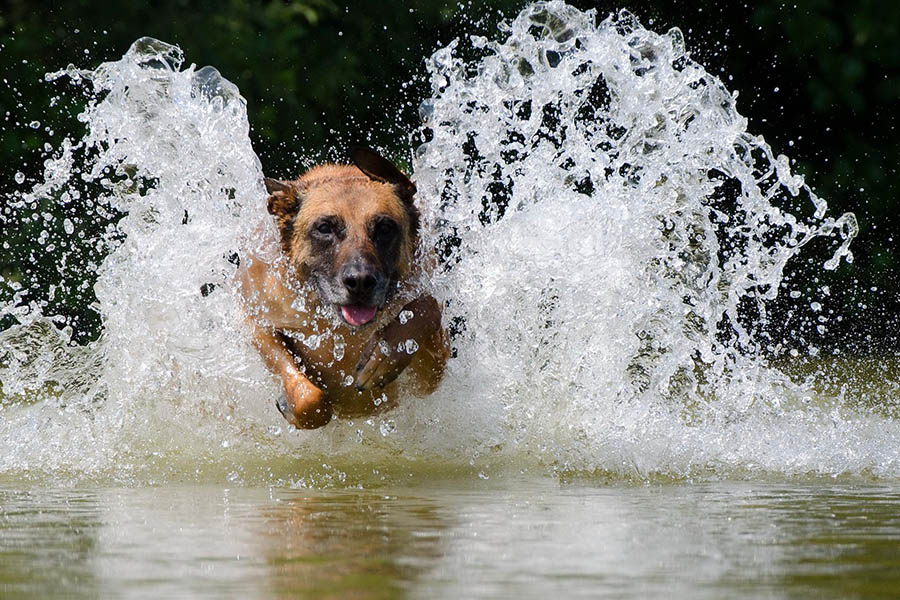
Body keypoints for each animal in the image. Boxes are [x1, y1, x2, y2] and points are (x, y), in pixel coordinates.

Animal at [239, 146, 450, 426]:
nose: (360, 281)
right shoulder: (256, 319)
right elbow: (309, 399)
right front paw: (291, 404)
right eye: (324, 227)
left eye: (385, 227)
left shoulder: (430, 377)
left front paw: (383, 355)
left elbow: (427, 307)